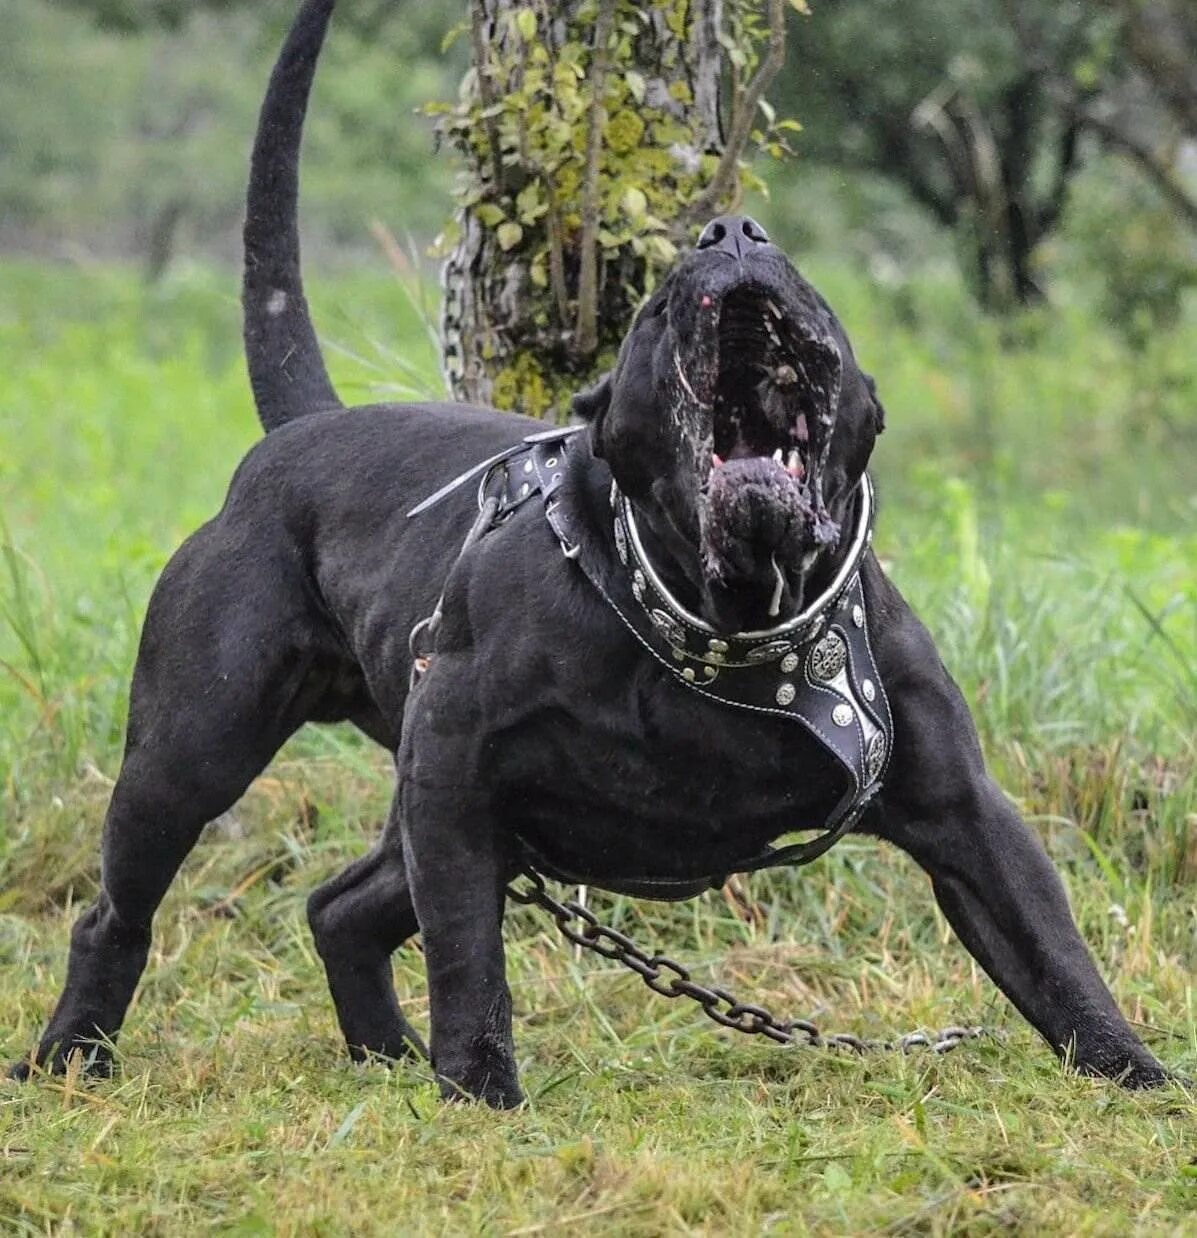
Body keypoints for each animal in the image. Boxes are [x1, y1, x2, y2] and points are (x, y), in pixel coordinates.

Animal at [9, 0, 1168, 1104]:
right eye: (653, 303)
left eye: (807, 280)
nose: (731, 227)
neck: (725, 617)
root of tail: (297, 432)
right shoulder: (457, 771)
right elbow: (470, 960)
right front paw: (481, 1091)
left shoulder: (965, 811)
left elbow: (1053, 954)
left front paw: (1141, 1080)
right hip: (195, 749)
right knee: (118, 911)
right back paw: (73, 1056)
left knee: (340, 907)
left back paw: (385, 1057)